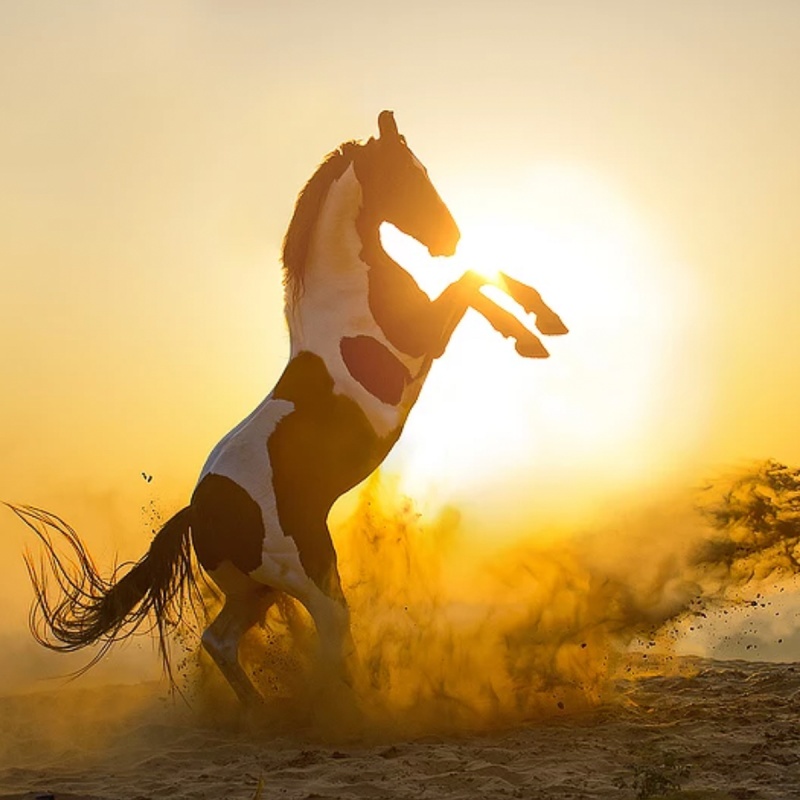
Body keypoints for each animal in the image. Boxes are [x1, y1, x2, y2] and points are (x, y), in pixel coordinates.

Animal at [7, 112, 568, 708]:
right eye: (408, 176)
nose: (450, 239)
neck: (350, 291)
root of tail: (199, 514)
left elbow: (486, 277)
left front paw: (546, 321)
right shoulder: (419, 345)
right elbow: (473, 282)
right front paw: (533, 336)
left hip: (257, 591)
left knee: (221, 640)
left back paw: (265, 714)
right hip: (310, 574)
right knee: (328, 639)